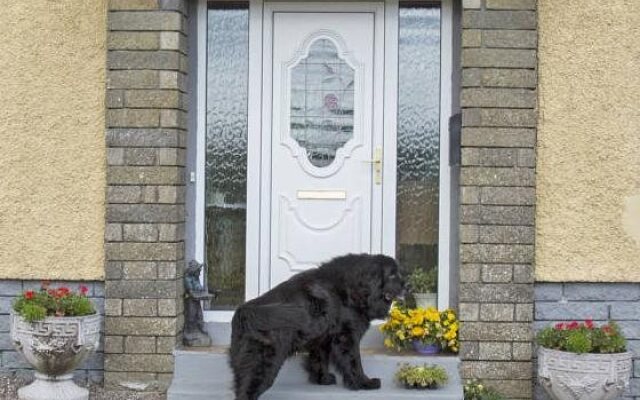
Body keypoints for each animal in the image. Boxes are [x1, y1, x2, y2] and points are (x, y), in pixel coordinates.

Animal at [230, 253, 404, 400]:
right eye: (392, 274)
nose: (406, 285)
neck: (355, 289)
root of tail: (244, 311)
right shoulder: (346, 337)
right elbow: (354, 362)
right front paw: (363, 383)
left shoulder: (323, 338)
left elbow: (320, 359)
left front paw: (323, 379)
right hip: (263, 362)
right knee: (248, 390)